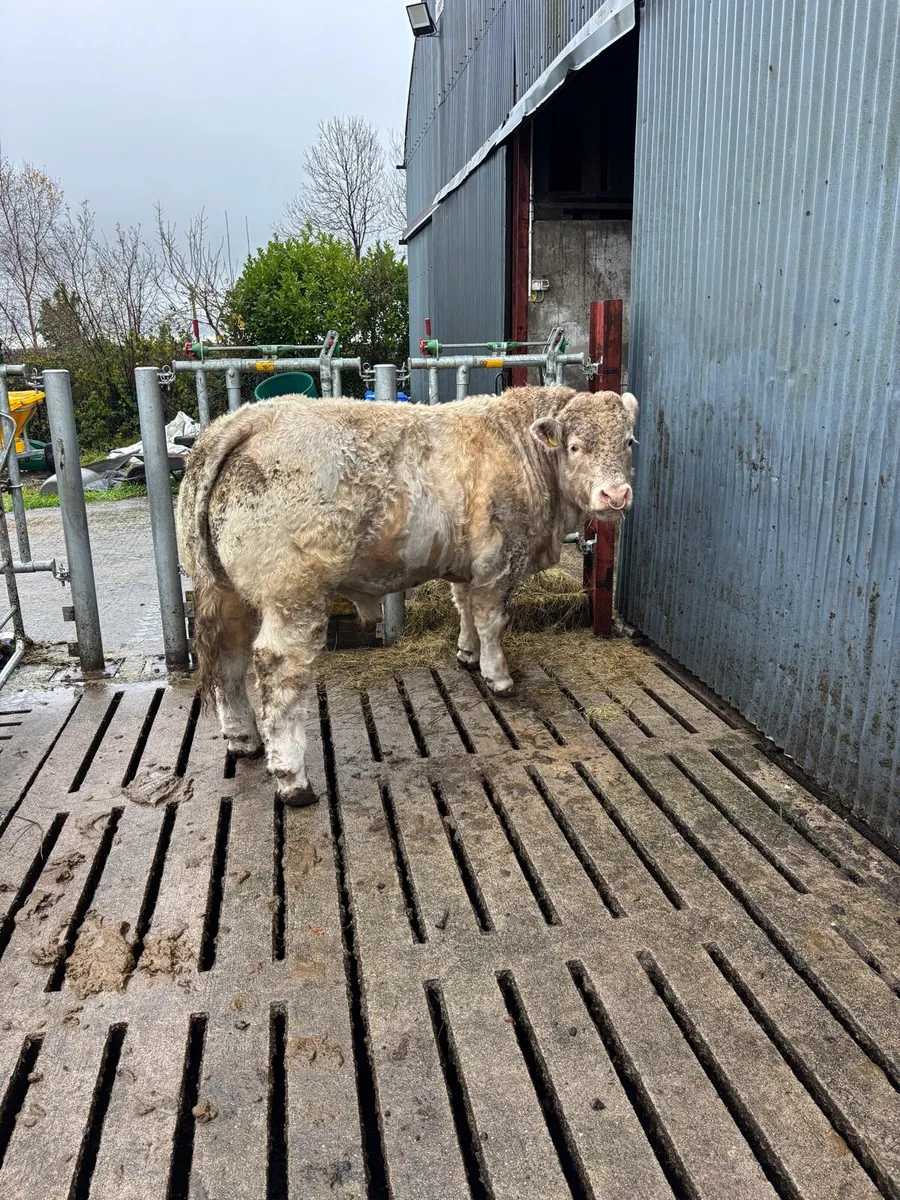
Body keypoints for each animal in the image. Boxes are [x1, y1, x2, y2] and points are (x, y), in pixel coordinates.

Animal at [176, 384, 638, 807]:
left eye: (628, 441)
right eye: (575, 446)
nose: (616, 495)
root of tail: (249, 418)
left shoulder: (466, 562)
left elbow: (464, 606)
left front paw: (467, 654)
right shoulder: (499, 558)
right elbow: (492, 620)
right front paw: (498, 676)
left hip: (226, 590)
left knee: (229, 657)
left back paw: (242, 738)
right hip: (293, 594)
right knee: (278, 671)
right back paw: (293, 780)